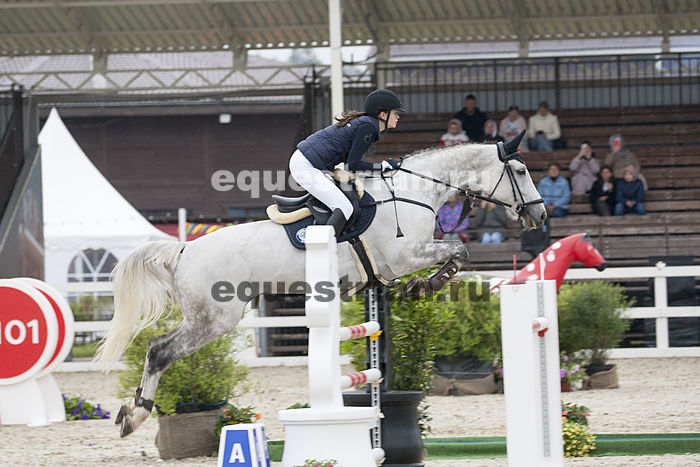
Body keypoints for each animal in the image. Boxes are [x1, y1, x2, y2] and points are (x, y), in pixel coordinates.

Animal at [96, 131, 547, 437]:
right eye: (521, 170)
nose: (540, 216)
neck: (411, 192)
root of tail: (184, 249)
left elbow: (456, 251)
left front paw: (423, 287)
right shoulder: (404, 256)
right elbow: (458, 250)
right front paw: (426, 286)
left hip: (209, 318)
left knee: (158, 347)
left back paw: (132, 412)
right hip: (214, 319)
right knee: (160, 350)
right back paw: (136, 414)